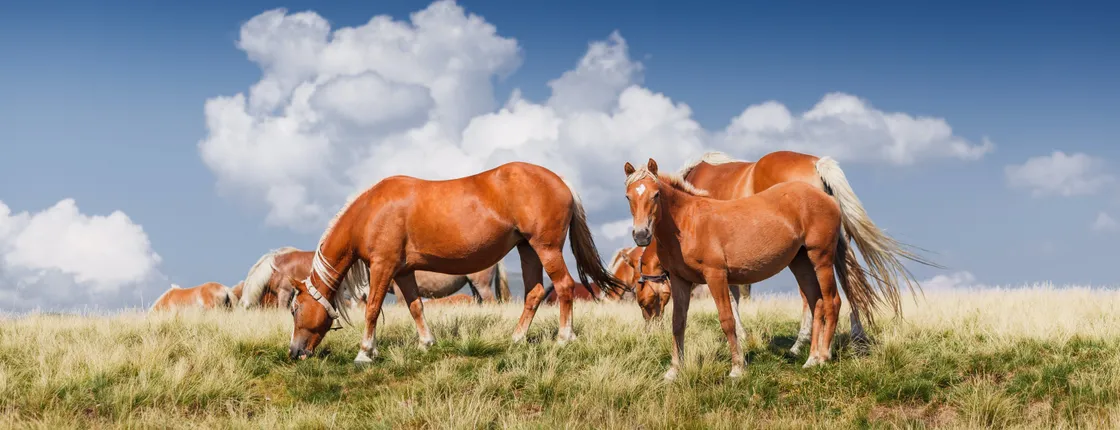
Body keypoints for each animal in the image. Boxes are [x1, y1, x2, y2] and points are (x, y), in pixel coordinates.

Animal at [286, 161, 626, 361]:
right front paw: (426, 343)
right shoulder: (404, 272)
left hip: (546, 248)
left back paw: (564, 338)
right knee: (535, 292)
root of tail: (561, 181)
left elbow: (372, 309)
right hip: (528, 249)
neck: (371, 211)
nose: (294, 352)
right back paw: (516, 338)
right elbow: (416, 307)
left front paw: (365, 352)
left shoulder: (383, 267)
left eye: (295, 309)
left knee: (565, 286)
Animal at [623, 158, 883, 379]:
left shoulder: (716, 276)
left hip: (821, 259)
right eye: (628, 197)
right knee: (816, 302)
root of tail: (825, 196)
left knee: (832, 301)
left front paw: (737, 369)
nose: (641, 235)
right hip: (801, 264)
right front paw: (674, 371)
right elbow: (678, 323)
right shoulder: (680, 281)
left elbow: (727, 319)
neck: (689, 222)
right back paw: (811, 358)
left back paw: (824, 356)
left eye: (656, 194)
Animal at [633, 150, 941, 355]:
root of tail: (817, 164)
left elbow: (731, 298)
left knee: (814, 294)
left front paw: (741, 337)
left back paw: (802, 343)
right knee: (849, 280)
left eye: (642, 300)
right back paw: (856, 336)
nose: (649, 333)